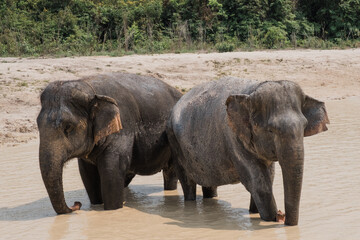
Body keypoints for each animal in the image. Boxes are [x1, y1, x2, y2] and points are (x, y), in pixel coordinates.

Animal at [37, 72, 183, 214]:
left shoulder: (123, 126)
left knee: (170, 173)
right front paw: (96, 205)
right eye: (37, 124)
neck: (88, 86)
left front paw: (112, 210)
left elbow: (111, 170)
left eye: (68, 127)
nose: (76, 204)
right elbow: (88, 173)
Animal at [166, 77, 330, 225]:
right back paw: (190, 203)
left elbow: (268, 177)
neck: (252, 90)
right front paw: (270, 219)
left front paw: (255, 213)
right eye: (271, 130)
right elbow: (258, 182)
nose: (283, 219)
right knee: (187, 182)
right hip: (175, 143)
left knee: (209, 185)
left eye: (304, 126)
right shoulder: (232, 137)